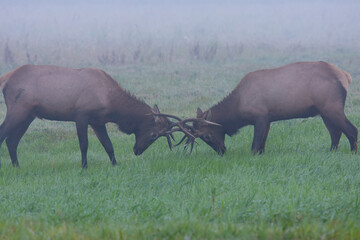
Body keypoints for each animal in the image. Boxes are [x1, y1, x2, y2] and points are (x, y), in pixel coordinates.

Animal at [0, 64, 186, 168]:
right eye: (154, 134)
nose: (137, 151)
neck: (112, 105)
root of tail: (6, 78)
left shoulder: (98, 121)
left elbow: (108, 145)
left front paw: (115, 164)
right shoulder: (81, 115)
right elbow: (84, 144)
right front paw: (84, 167)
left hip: (28, 114)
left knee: (12, 140)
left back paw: (17, 166)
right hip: (18, 109)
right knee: (4, 134)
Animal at [183, 61, 358, 155]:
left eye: (207, 136)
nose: (221, 151)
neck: (238, 108)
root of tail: (346, 76)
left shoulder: (260, 116)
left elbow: (255, 145)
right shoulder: (269, 118)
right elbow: (263, 144)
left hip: (332, 107)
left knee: (351, 130)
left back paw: (353, 153)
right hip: (323, 111)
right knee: (336, 133)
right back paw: (331, 152)